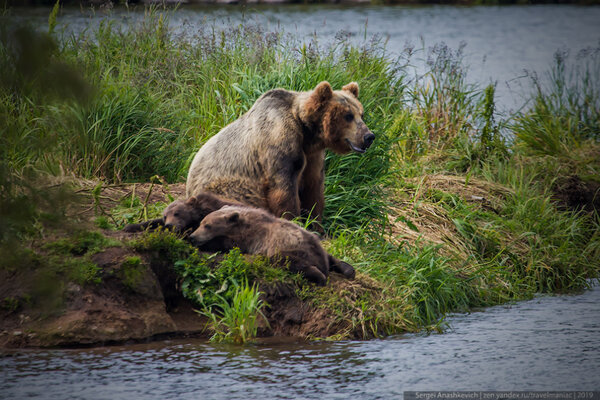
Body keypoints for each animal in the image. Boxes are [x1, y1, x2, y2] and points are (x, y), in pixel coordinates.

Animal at [188, 81, 376, 225]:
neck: (307, 133)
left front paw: (316, 225)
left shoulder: (312, 156)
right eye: (348, 115)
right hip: (227, 186)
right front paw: (294, 220)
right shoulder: (279, 141)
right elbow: (284, 188)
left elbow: (313, 188)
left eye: (361, 114)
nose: (369, 136)